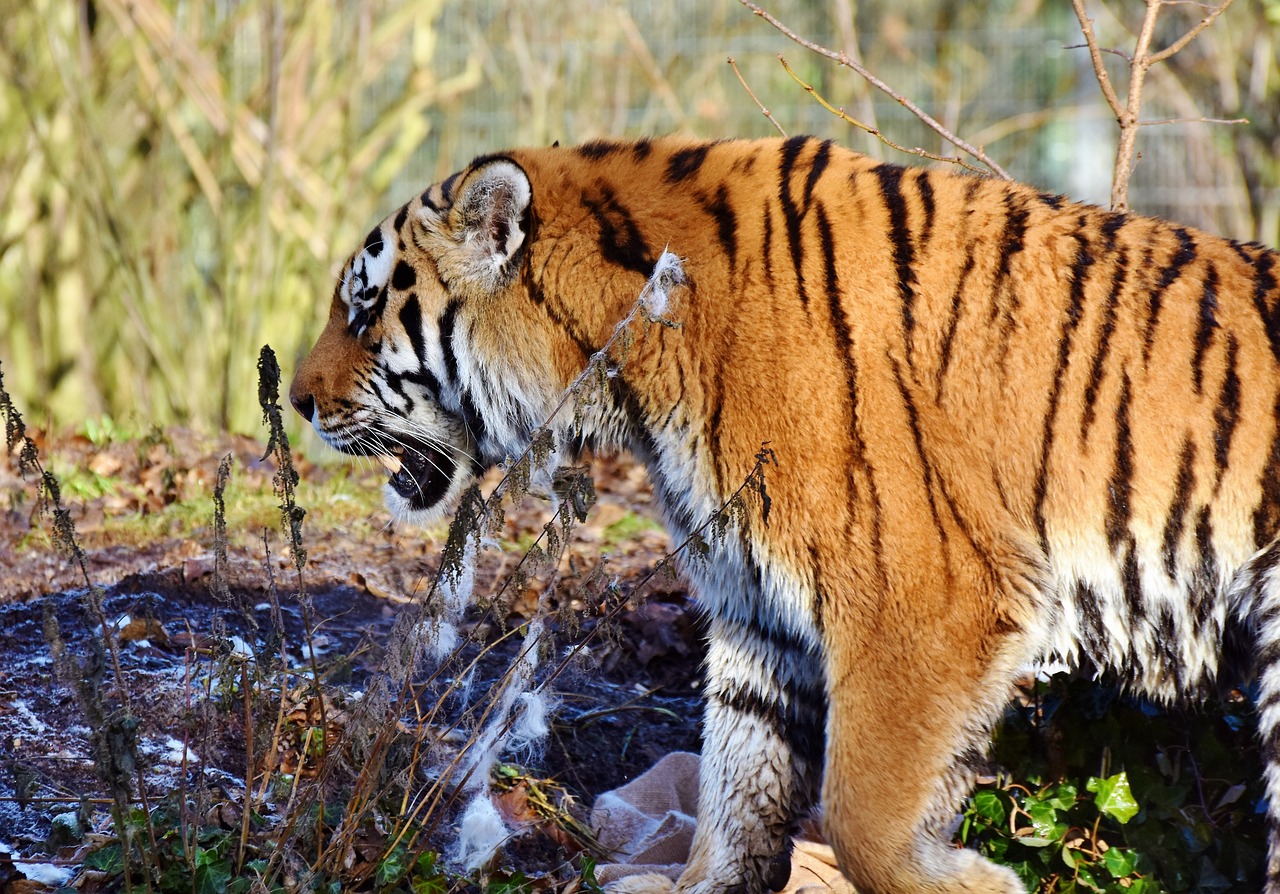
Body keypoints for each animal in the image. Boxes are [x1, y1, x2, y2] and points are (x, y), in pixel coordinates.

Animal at [290, 133, 1280, 891]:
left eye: (365, 309)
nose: (295, 400)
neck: (634, 371)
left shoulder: (922, 607)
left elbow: (862, 816)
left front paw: (973, 881)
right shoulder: (755, 605)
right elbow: (736, 788)